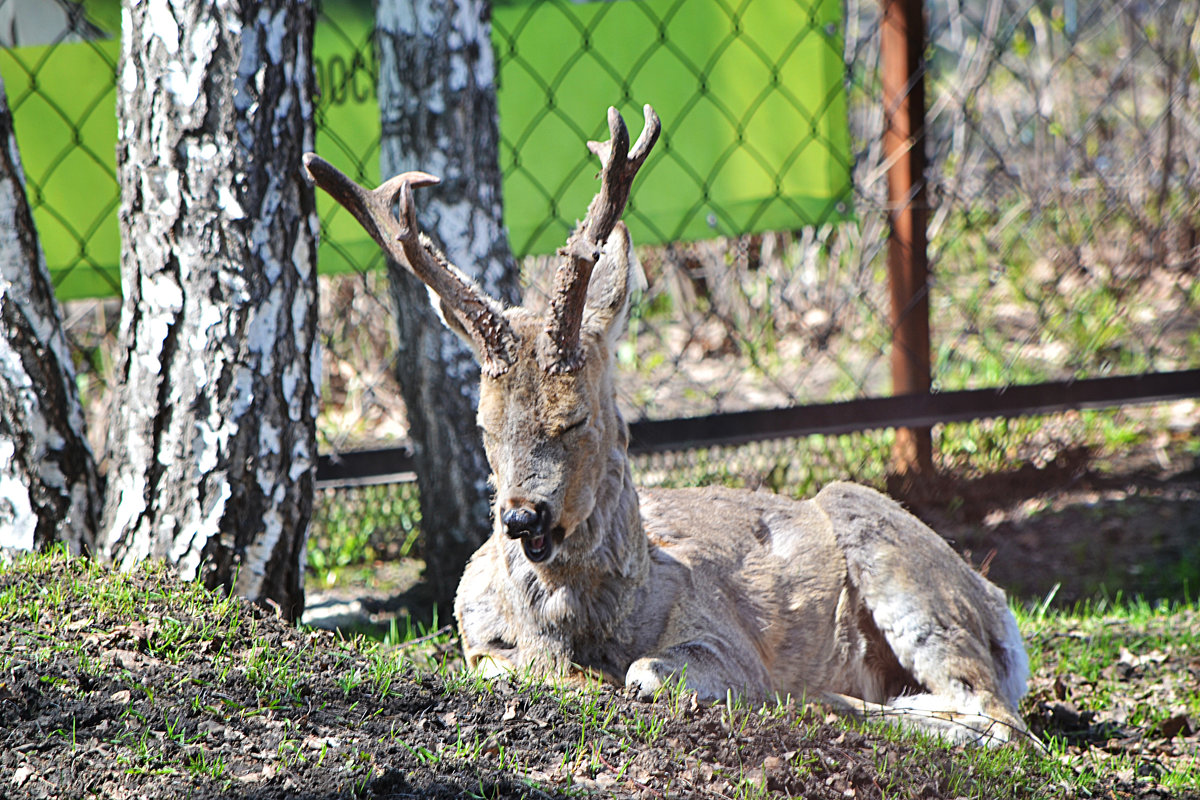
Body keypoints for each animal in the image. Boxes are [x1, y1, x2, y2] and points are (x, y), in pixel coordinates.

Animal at [304, 104, 1036, 743]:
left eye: (577, 418)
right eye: (482, 423)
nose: (521, 517)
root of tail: (1000, 606)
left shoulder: (728, 641)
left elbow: (647, 674)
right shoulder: (474, 636)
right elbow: (502, 668)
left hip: (900, 563)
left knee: (1001, 722)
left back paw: (828, 699)